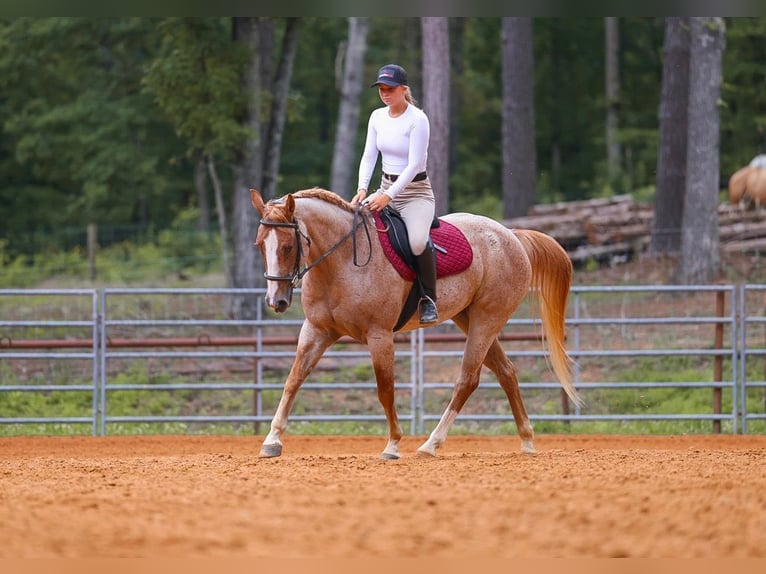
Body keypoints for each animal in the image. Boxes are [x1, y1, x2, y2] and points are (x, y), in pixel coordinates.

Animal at [250, 187, 581, 459]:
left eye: (288, 247)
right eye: (259, 245)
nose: (276, 301)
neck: (342, 261)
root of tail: (511, 235)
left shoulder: (379, 335)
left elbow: (385, 388)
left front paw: (393, 445)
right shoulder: (316, 331)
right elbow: (293, 380)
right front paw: (272, 441)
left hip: (487, 319)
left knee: (468, 379)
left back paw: (431, 444)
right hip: (469, 319)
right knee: (506, 372)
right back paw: (526, 440)